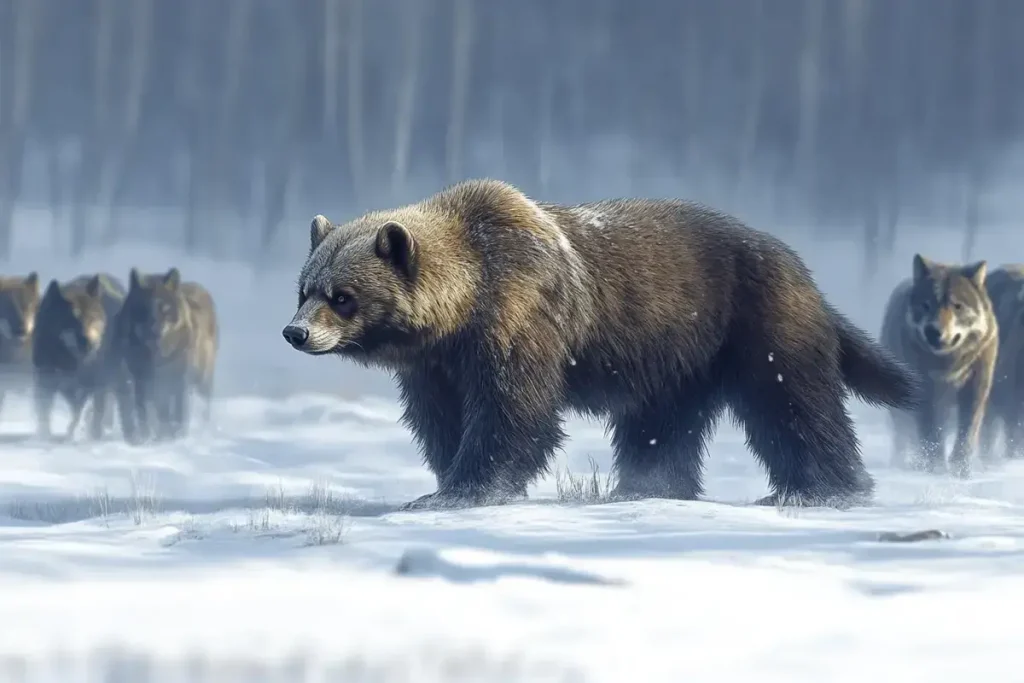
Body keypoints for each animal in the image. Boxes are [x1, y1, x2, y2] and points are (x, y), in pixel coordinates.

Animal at [114, 266, 218, 444]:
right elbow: (144, 413)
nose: (154, 331)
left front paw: (177, 438)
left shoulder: (180, 382)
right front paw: (147, 438)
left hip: (202, 380)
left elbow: (179, 413)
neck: (158, 358)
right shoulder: (142, 381)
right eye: (144, 308)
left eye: (164, 308)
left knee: (206, 406)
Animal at [282, 179, 921, 509]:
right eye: (304, 287)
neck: (465, 303)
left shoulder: (521, 315)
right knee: (661, 427)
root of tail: (800, 266)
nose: (296, 332)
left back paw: (823, 490)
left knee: (793, 402)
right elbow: (440, 417)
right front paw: (442, 479)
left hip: (750, 321)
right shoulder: (436, 363)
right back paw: (648, 487)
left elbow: (513, 412)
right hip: (678, 356)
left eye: (342, 296)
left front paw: (468, 489)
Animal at [876, 253, 995, 479]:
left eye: (957, 306)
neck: (948, 365)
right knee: (903, 437)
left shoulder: (975, 389)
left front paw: (961, 471)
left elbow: (967, 432)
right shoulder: (923, 391)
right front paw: (936, 469)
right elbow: (931, 434)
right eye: (926, 305)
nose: (933, 330)